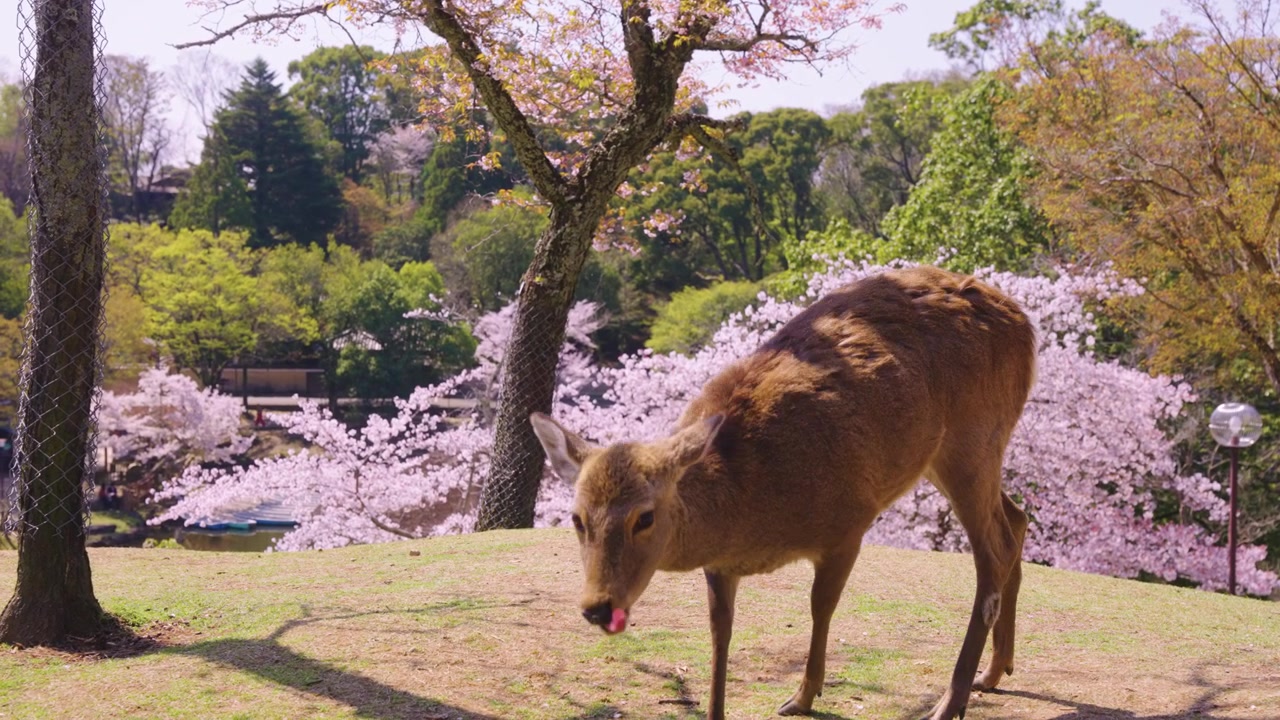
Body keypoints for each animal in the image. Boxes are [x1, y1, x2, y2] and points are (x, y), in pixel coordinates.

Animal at [531, 266, 1036, 720]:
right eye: (577, 518)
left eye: (645, 516)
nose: (598, 606)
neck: (750, 509)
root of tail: (1027, 328)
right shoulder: (720, 565)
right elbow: (720, 630)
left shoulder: (848, 522)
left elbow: (820, 607)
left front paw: (802, 696)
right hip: (951, 455)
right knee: (1016, 518)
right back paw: (995, 672)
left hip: (974, 436)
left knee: (994, 550)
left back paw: (950, 702)